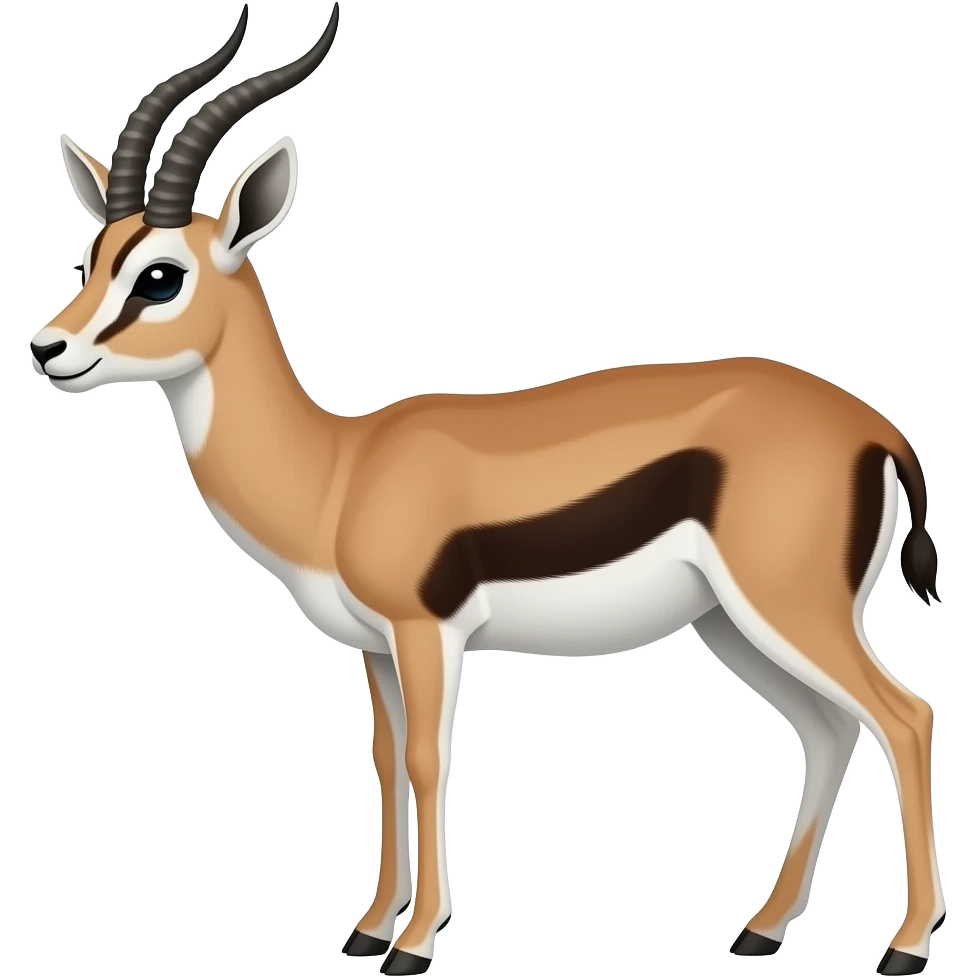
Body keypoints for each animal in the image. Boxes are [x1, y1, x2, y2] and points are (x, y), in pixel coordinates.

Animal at [31, 4, 944, 975]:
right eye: (94, 256)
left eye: (160, 274)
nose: (49, 349)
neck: (338, 470)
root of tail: (877, 429)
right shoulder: (376, 648)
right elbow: (385, 758)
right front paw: (367, 928)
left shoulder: (428, 632)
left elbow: (429, 760)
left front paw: (414, 943)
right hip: (731, 622)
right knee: (828, 729)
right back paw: (760, 929)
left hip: (789, 606)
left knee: (904, 715)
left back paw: (903, 946)